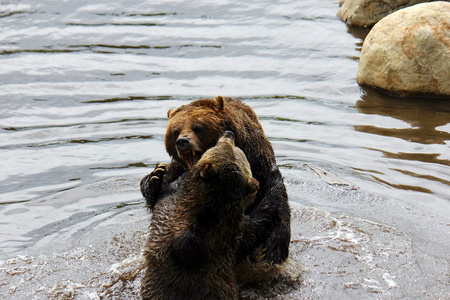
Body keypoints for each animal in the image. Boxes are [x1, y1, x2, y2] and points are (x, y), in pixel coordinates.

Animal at [141, 95, 292, 266]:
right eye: (175, 131)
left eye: (198, 127)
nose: (183, 141)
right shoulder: (177, 176)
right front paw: (156, 176)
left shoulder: (259, 164)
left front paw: (273, 249)